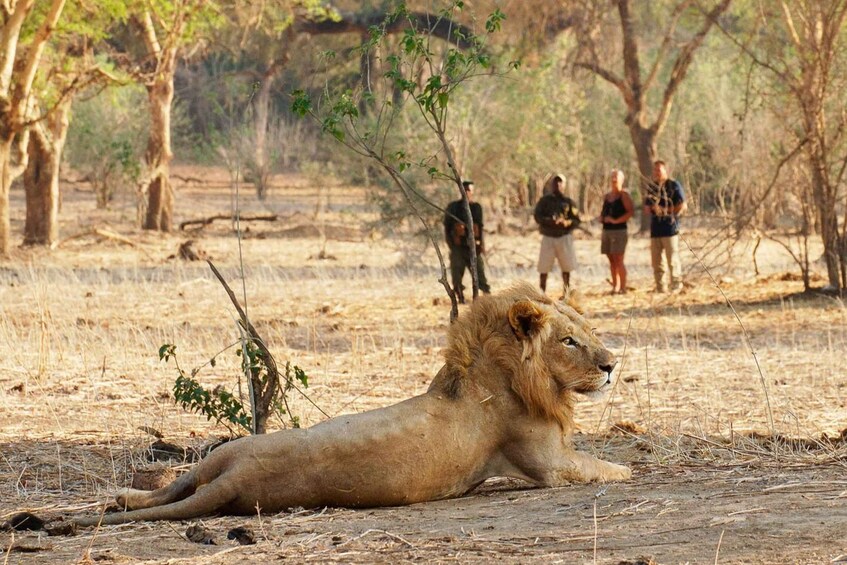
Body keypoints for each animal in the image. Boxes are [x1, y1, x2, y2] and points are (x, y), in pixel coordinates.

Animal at [74, 280, 628, 524]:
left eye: (590, 332)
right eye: (570, 342)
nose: (611, 364)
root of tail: (239, 477)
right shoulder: (548, 462)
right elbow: (605, 467)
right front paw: (626, 470)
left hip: (219, 456)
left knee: (173, 488)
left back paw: (124, 498)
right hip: (231, 457)